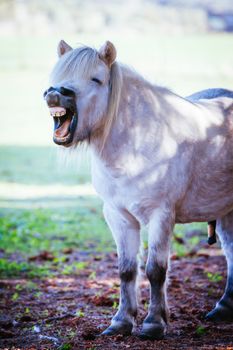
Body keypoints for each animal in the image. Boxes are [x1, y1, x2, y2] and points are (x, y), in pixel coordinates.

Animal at [43, 40, 233, 340]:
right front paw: (121, 321)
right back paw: (223, 308)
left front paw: (154, 323)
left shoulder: (161, 215)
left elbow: (155, 270)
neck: (138, 142)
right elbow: (127, 270)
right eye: (58, 75)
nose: (55, 93)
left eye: (96, 79)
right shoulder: (118, 216)